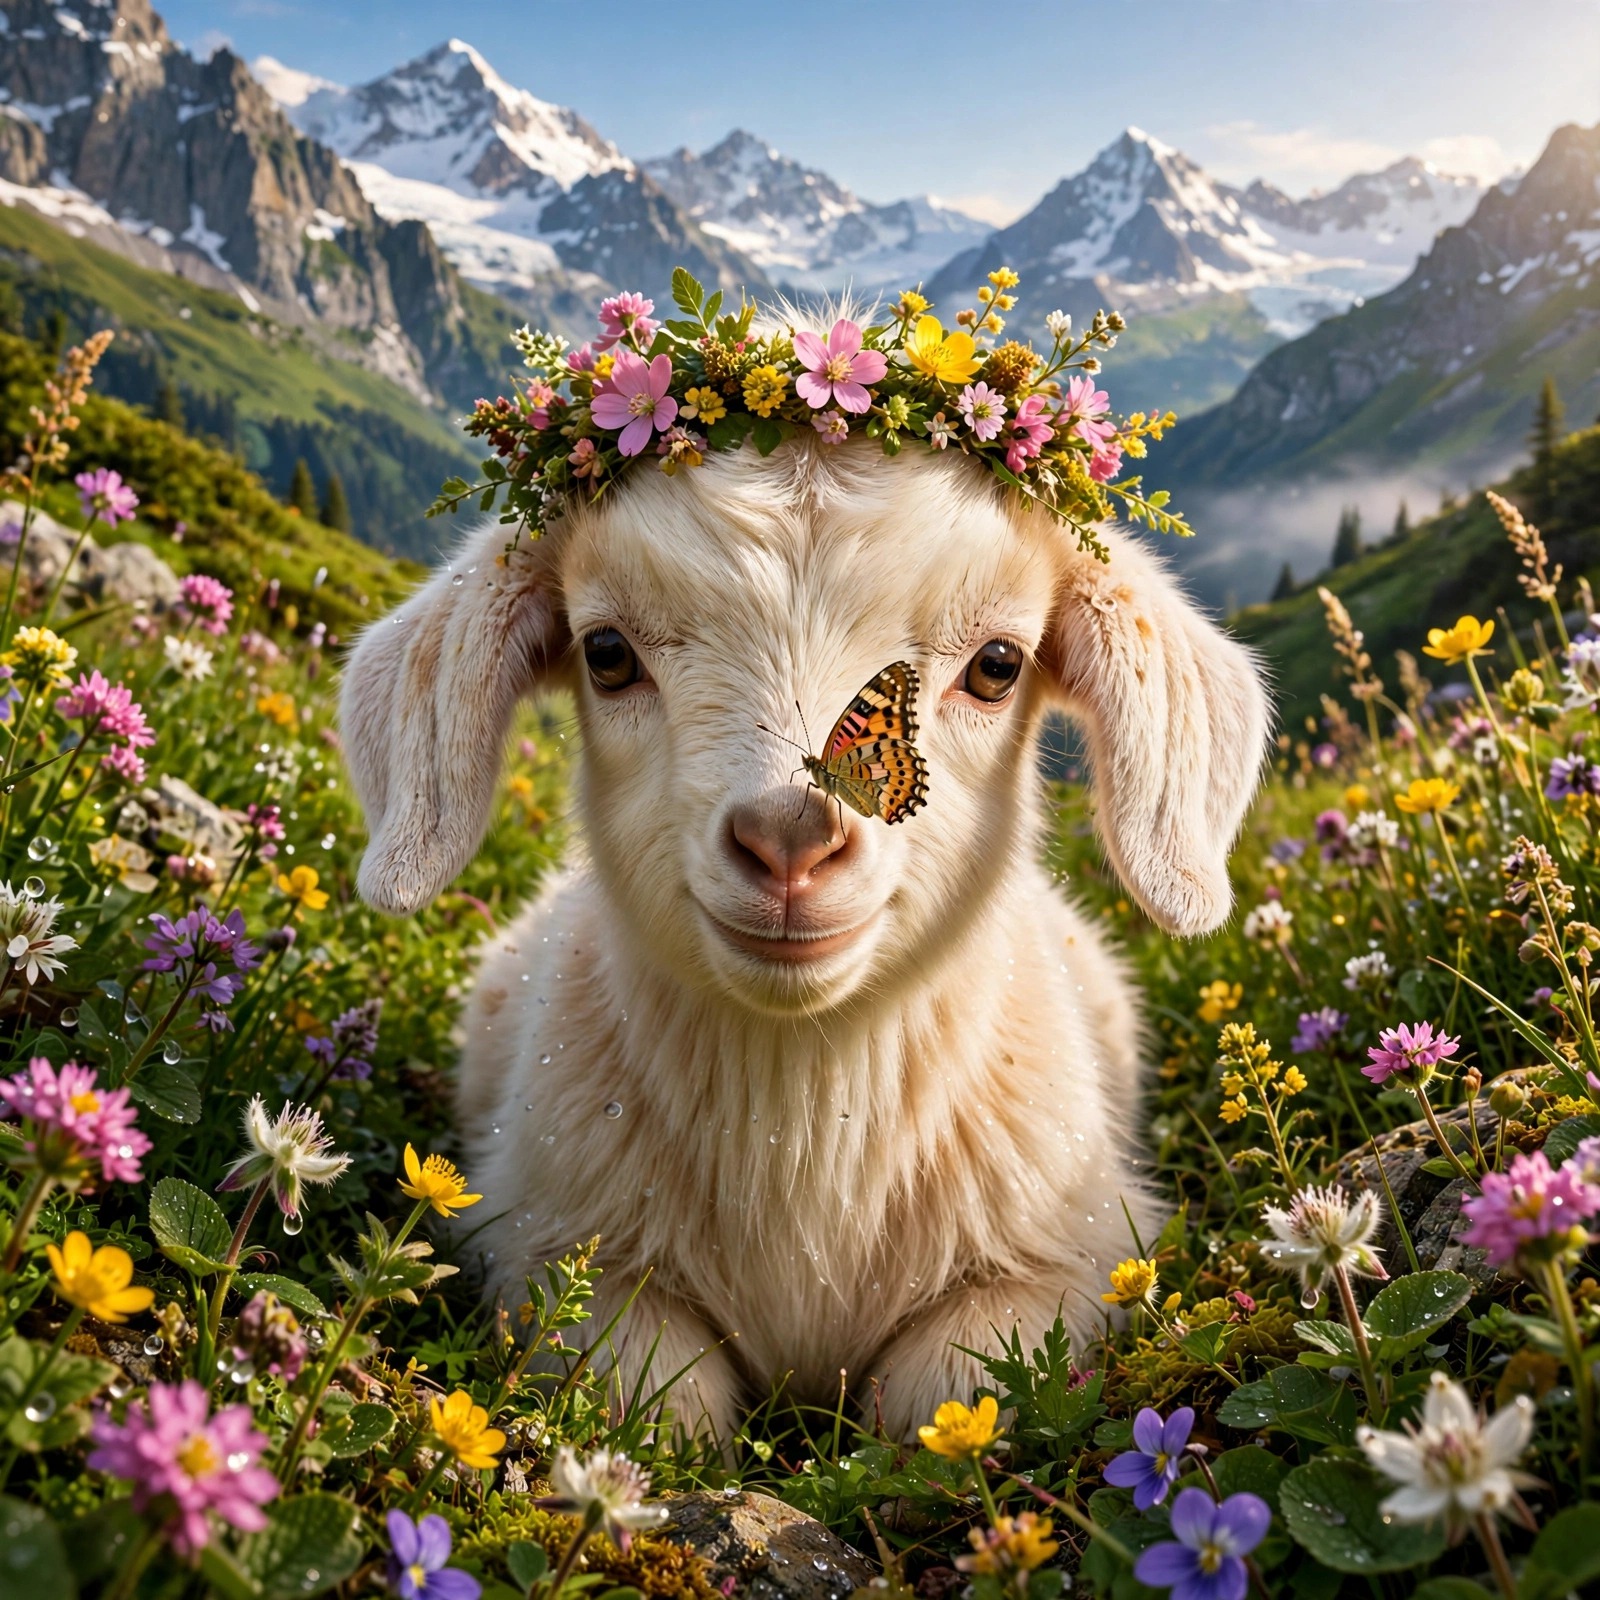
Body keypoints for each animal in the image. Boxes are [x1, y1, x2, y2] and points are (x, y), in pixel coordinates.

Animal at [340, 436, 1269, 1442]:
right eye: (607, 652)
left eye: (997, 666)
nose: (789, 840)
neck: (804, 1134)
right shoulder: (537, 1241)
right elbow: (661, 1404)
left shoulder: (1076, 1257)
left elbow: (940, 1394)